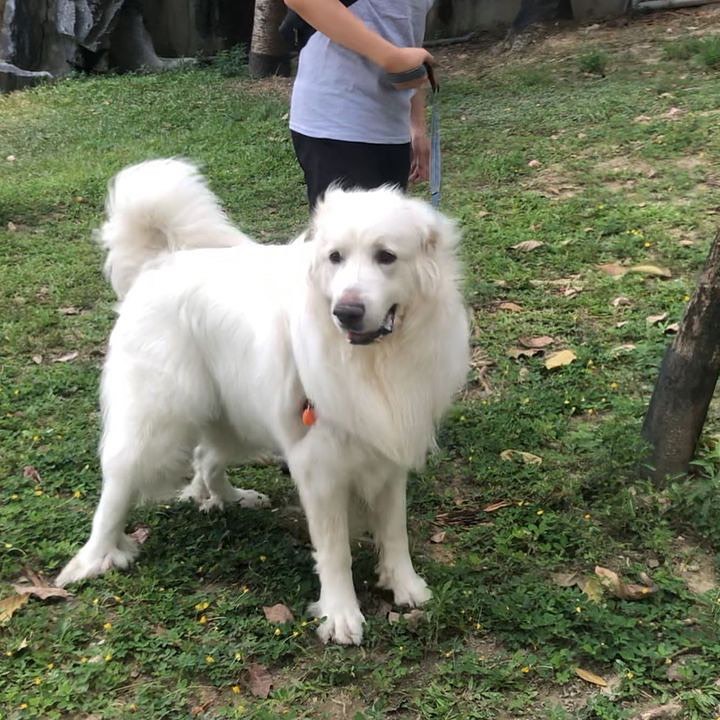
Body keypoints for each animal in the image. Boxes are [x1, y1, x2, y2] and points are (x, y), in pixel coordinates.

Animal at [57, 162, 472, 648]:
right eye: (335, 258)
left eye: (386, 256)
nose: (346, 312)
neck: (372, 360)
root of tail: (159, 262)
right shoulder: (320, 467)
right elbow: (335, 551)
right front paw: (340, 614)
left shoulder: (386, 451)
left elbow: (394, 531)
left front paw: (405, 586)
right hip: (156, 422)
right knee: (119, 484)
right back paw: (95, 557)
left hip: (236, 416)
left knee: (206, 457)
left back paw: (230, 498)